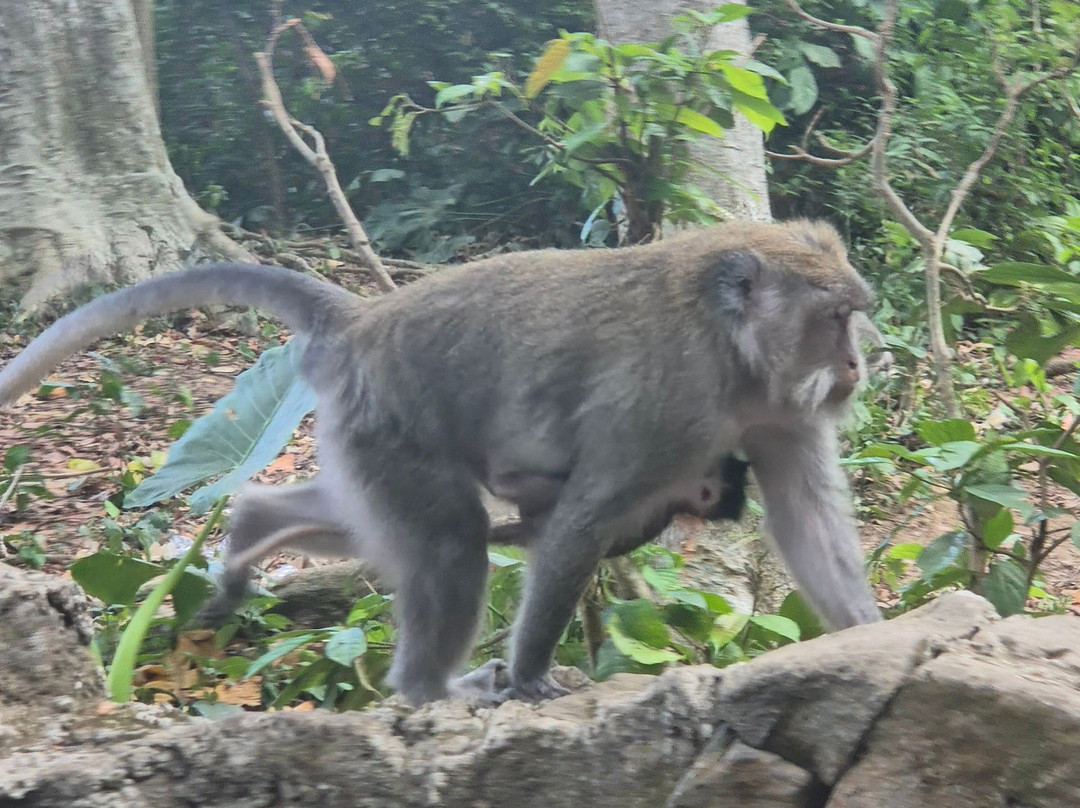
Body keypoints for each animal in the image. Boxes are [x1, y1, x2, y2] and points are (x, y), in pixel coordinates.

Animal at [0, 219, 882, 705]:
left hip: (364, 434)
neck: (727, 347)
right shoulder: (667, 407)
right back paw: (430, 688)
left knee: (379, 524)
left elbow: (807, 522)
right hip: (390, 421)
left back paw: (253, 525)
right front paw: (530, 677)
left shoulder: (776, 409)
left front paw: (870, 635)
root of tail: (363, 318)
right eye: (836, 318)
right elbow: (581, 525)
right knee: (452, 540)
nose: (855, 366)